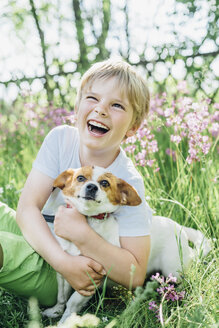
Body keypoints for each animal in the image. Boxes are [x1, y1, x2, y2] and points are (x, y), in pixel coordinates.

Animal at [42, 165, 211, 324]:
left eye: (105, 183)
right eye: (81, 178)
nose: (92, 187)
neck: (88, 220)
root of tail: (180, 229)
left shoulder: (91, 279)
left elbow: (72, 303)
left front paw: (64, 322)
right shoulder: (64, 272)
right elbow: (62, 296)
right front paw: (55, 311)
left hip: (173, 270)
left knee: (184, 283)